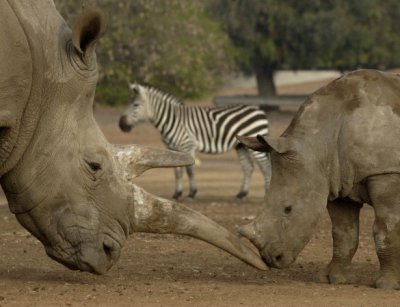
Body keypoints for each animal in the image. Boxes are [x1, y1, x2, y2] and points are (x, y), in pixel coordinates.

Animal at [117, 83, 270, 202]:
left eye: (135, 105)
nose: (121, 125)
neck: (171, 120)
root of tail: (258, 110)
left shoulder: (187, 145)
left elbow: (190, 170)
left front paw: (191, 194)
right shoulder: (173, 148)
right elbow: (177, 172)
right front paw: (176, 194)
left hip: (254, 143)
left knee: (265, 166)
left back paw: (268, 193)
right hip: (241, 145)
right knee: (248, 167)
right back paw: (241, 195)